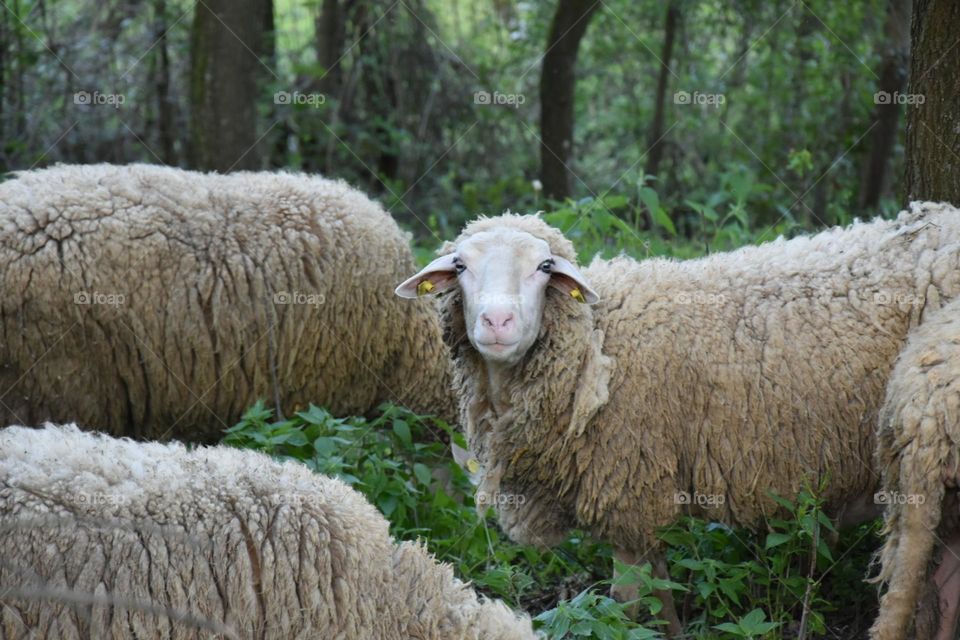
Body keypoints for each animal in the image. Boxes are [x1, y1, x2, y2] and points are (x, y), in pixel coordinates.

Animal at [395, 204, 960, 635]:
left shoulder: (626, 491)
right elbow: (661, 591)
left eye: (544, 266)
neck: (599, 341)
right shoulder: (641, 496)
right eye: (460, 266)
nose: (497, 321)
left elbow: (628, 603)